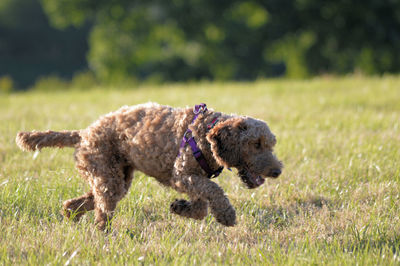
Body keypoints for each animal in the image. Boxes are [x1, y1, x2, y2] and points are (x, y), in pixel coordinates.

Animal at [16, 103, 284, 230]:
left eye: (270, 144)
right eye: (256, 144)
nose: (277, 171)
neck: (204, 133)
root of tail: (83, 133)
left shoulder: (192, 181)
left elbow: (201, 207)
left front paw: (180, 207)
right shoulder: (182, 175)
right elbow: (214, 191)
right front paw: (227, 215)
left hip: (115, 177)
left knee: (75, 204)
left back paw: (72, 219)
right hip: (109, 178)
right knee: (101, 214)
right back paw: (104, 236)